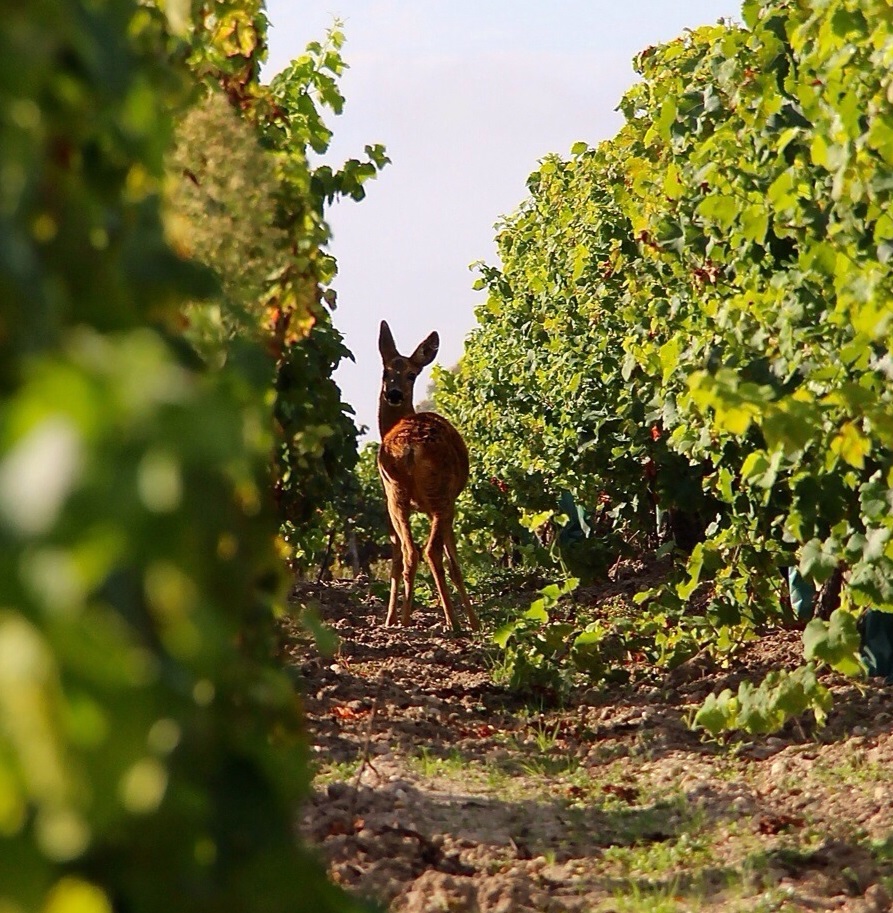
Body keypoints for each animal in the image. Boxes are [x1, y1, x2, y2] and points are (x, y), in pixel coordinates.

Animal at [376, 322, 480, 636]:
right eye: (386, 371)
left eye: (412, 374)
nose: (394, 393)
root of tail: (410, 447)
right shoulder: (452, 502)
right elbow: (454, 561)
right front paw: (474, 622)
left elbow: (398, 555)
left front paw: (390, 619)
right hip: (441, 495)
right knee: (431, 552)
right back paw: (454, 623)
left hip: (397, 496)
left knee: (410, 552)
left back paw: (406, 621)